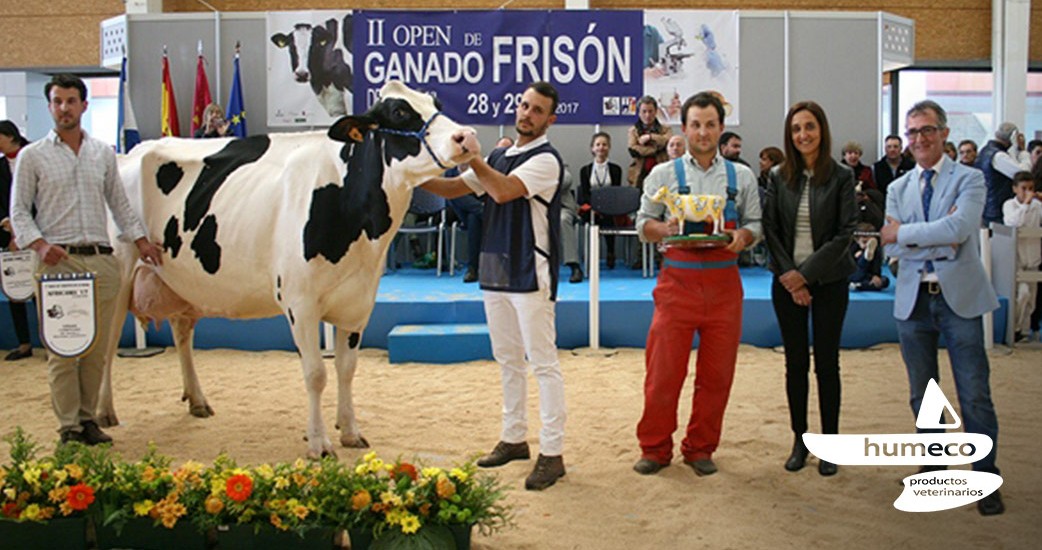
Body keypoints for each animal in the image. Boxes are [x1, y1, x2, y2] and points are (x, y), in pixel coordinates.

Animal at [99, 80, 475, 456]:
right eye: (399, 112)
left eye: (436, 103)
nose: (467, 136)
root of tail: (129, 153)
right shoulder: (300, 302)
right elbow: (316, 374)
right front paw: (319, 442)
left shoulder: (358, 302)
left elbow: (347, 368)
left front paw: (350, 431)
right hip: (120, 275)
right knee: (107, 342)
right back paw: (104, 414)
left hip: (183, 281)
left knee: (181, 332)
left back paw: (198, 401)